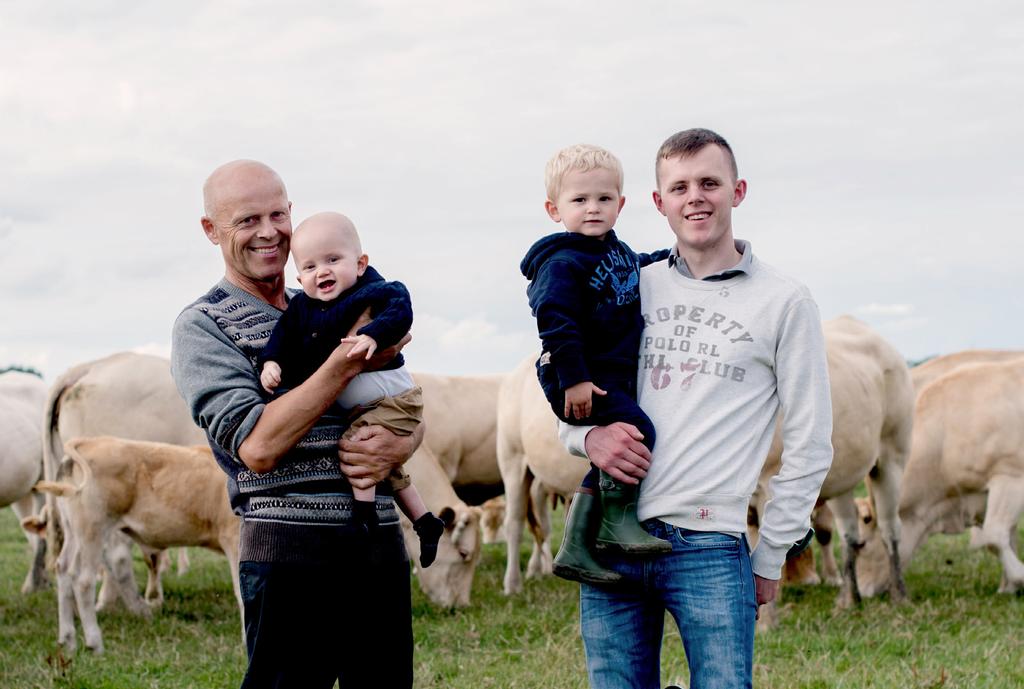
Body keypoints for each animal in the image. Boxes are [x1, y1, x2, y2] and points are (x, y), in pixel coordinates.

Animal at [33, 438, 241, 651]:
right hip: (92, 530)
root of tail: (89, 441)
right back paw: (95, 643)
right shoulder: (233, 538)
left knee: (63, 570)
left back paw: (68, 640)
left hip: (74, 532)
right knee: (83, 580)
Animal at [856, 360, 1024, 597]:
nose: (861, 591)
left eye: (861, 544)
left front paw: (1019, 577)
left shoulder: (1010, 478)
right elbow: (1007, 537)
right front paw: (1008, 587)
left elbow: (993, 536)